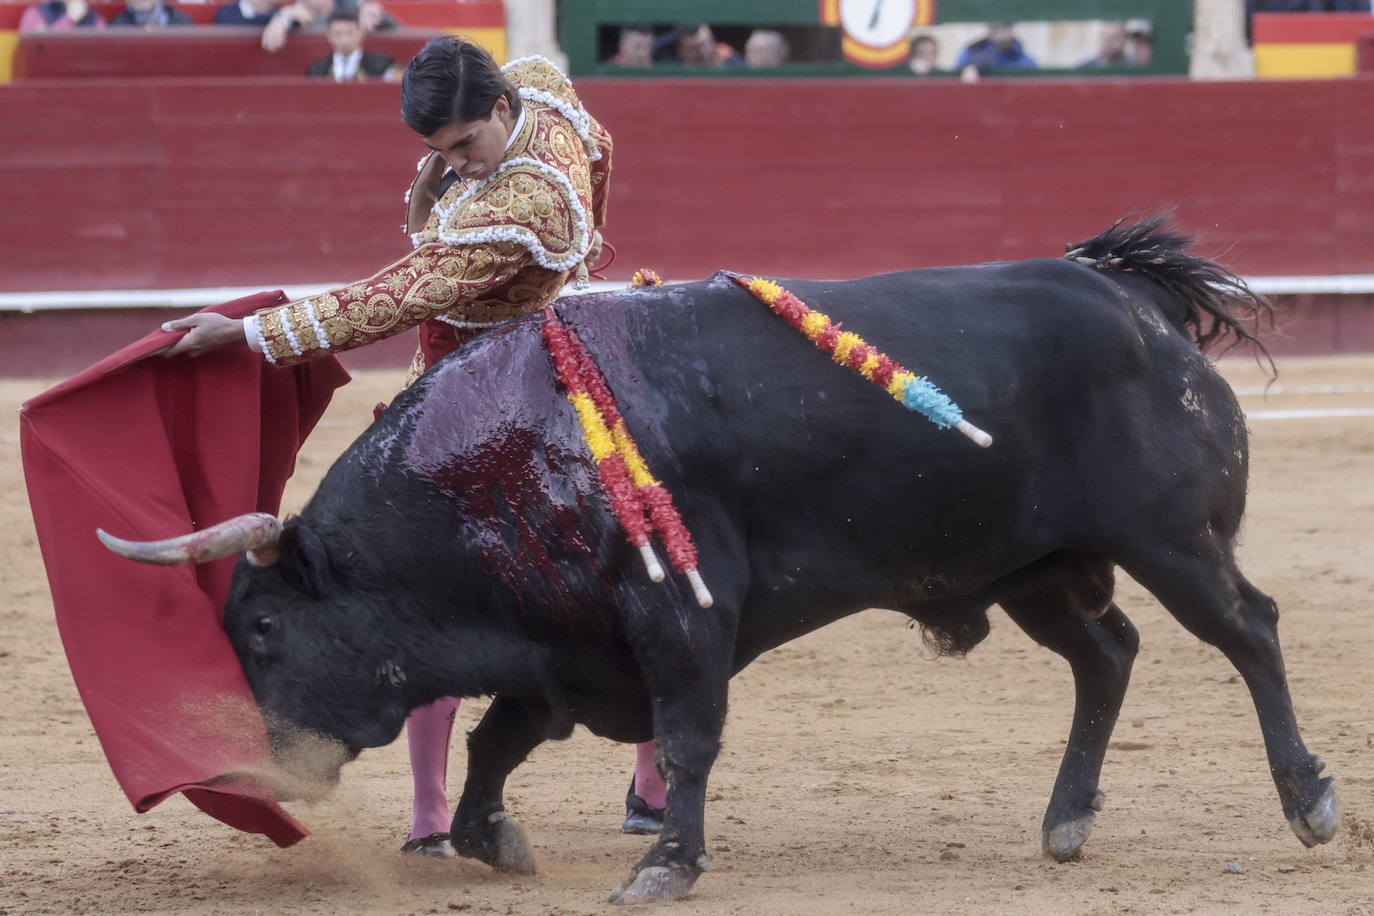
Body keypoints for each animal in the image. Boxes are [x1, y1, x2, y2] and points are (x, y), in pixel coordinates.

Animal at [101, 218, 1335, 906]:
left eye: (264, 628)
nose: (268, 773)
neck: (501, 458)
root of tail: (1129, 295)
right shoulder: (564, 649)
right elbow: (496, 741)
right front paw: (493, 839)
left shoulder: (678, 621)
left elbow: (689, 737)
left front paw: (664, 865)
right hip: (1036, 568)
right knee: (1109, 654)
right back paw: (1067, 818)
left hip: (1170, 541)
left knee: (1249, 629)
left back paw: (1310, 801)